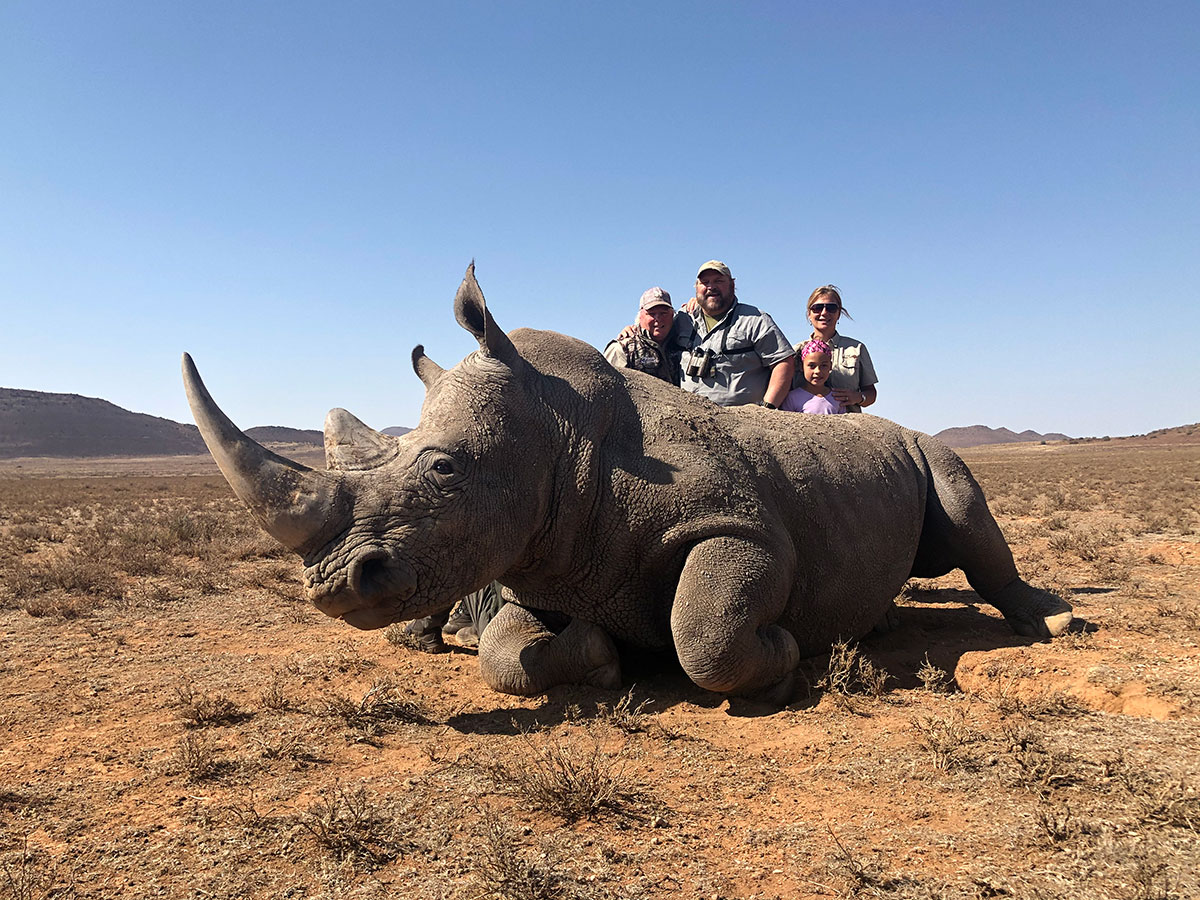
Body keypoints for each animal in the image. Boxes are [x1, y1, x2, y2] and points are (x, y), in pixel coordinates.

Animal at [182, 265, 1073, 703]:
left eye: (443, 470)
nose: (334, 586)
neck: (561, 430)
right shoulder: (534, 558)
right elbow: (505, 657)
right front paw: (601, 655)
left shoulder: (738, 526)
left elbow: (702, 632)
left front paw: (786, 663)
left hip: (921, 449)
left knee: (964, 512)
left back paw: (1054, 624)